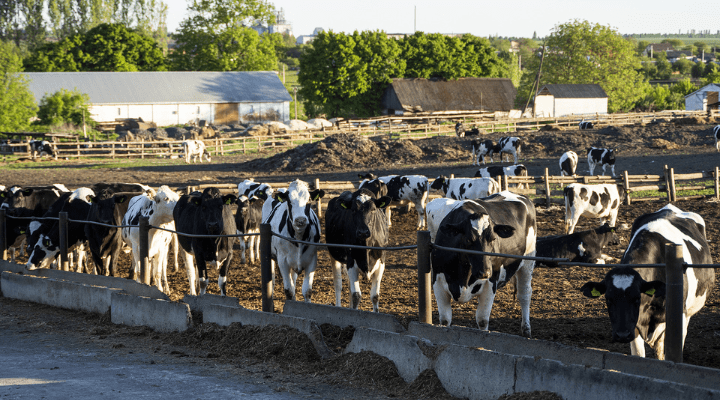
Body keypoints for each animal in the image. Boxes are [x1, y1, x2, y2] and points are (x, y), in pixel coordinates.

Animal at [430, 192, 536, 336]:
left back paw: (526, 329)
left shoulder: (490, 284)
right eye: (469, 239)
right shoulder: (438, 282)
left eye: (493, 238)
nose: (485, 272)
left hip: (528, 261)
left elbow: (482, 320)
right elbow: (445, 319)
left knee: (524, 294)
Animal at [580, 203, 716, 360]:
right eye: (608, 299)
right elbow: (639, 354)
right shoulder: (634, 326)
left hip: (688, 311)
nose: (622, 335)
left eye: (636, 298)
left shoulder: (678, 318)